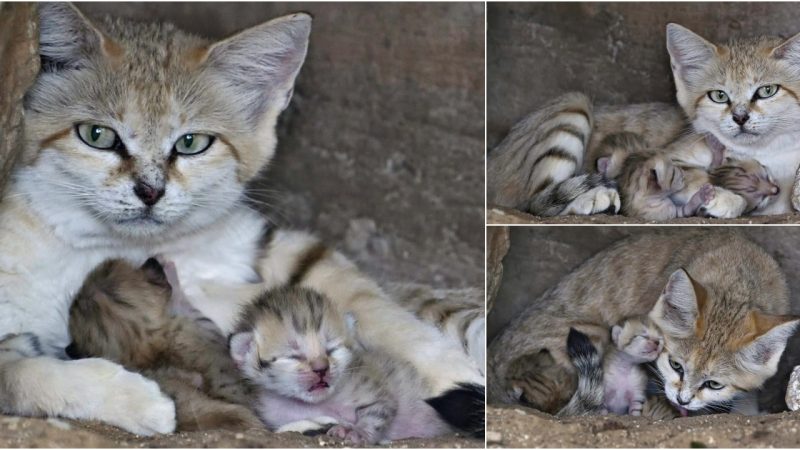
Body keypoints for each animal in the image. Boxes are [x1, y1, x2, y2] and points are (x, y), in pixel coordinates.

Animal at [228, 286, 460, 444]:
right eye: (294, 356)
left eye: (331, 349)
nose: (321, 368)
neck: (317, 404)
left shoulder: (378, 391)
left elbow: (377, 412)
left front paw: (357, 431)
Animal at [488, 24, 800, 218]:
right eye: (719, 96)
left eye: (767, 90)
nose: (740, 117)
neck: (769, 153)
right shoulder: (670, 157)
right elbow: (699, 174)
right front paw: (726, 197)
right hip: (573, 106)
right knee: (536, 203)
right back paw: (593, 197)